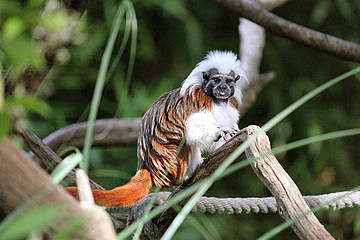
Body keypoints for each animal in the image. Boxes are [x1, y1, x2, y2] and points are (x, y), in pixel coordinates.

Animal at [66, 50, 246, 206]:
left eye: (228, 81)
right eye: (216, 80)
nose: (222, 89)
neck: (216, 100)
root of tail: (148, 169)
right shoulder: (198, 101)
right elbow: (194, 130)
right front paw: (218, 132)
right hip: (173, 164)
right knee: (187, 143)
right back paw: (189, 173)